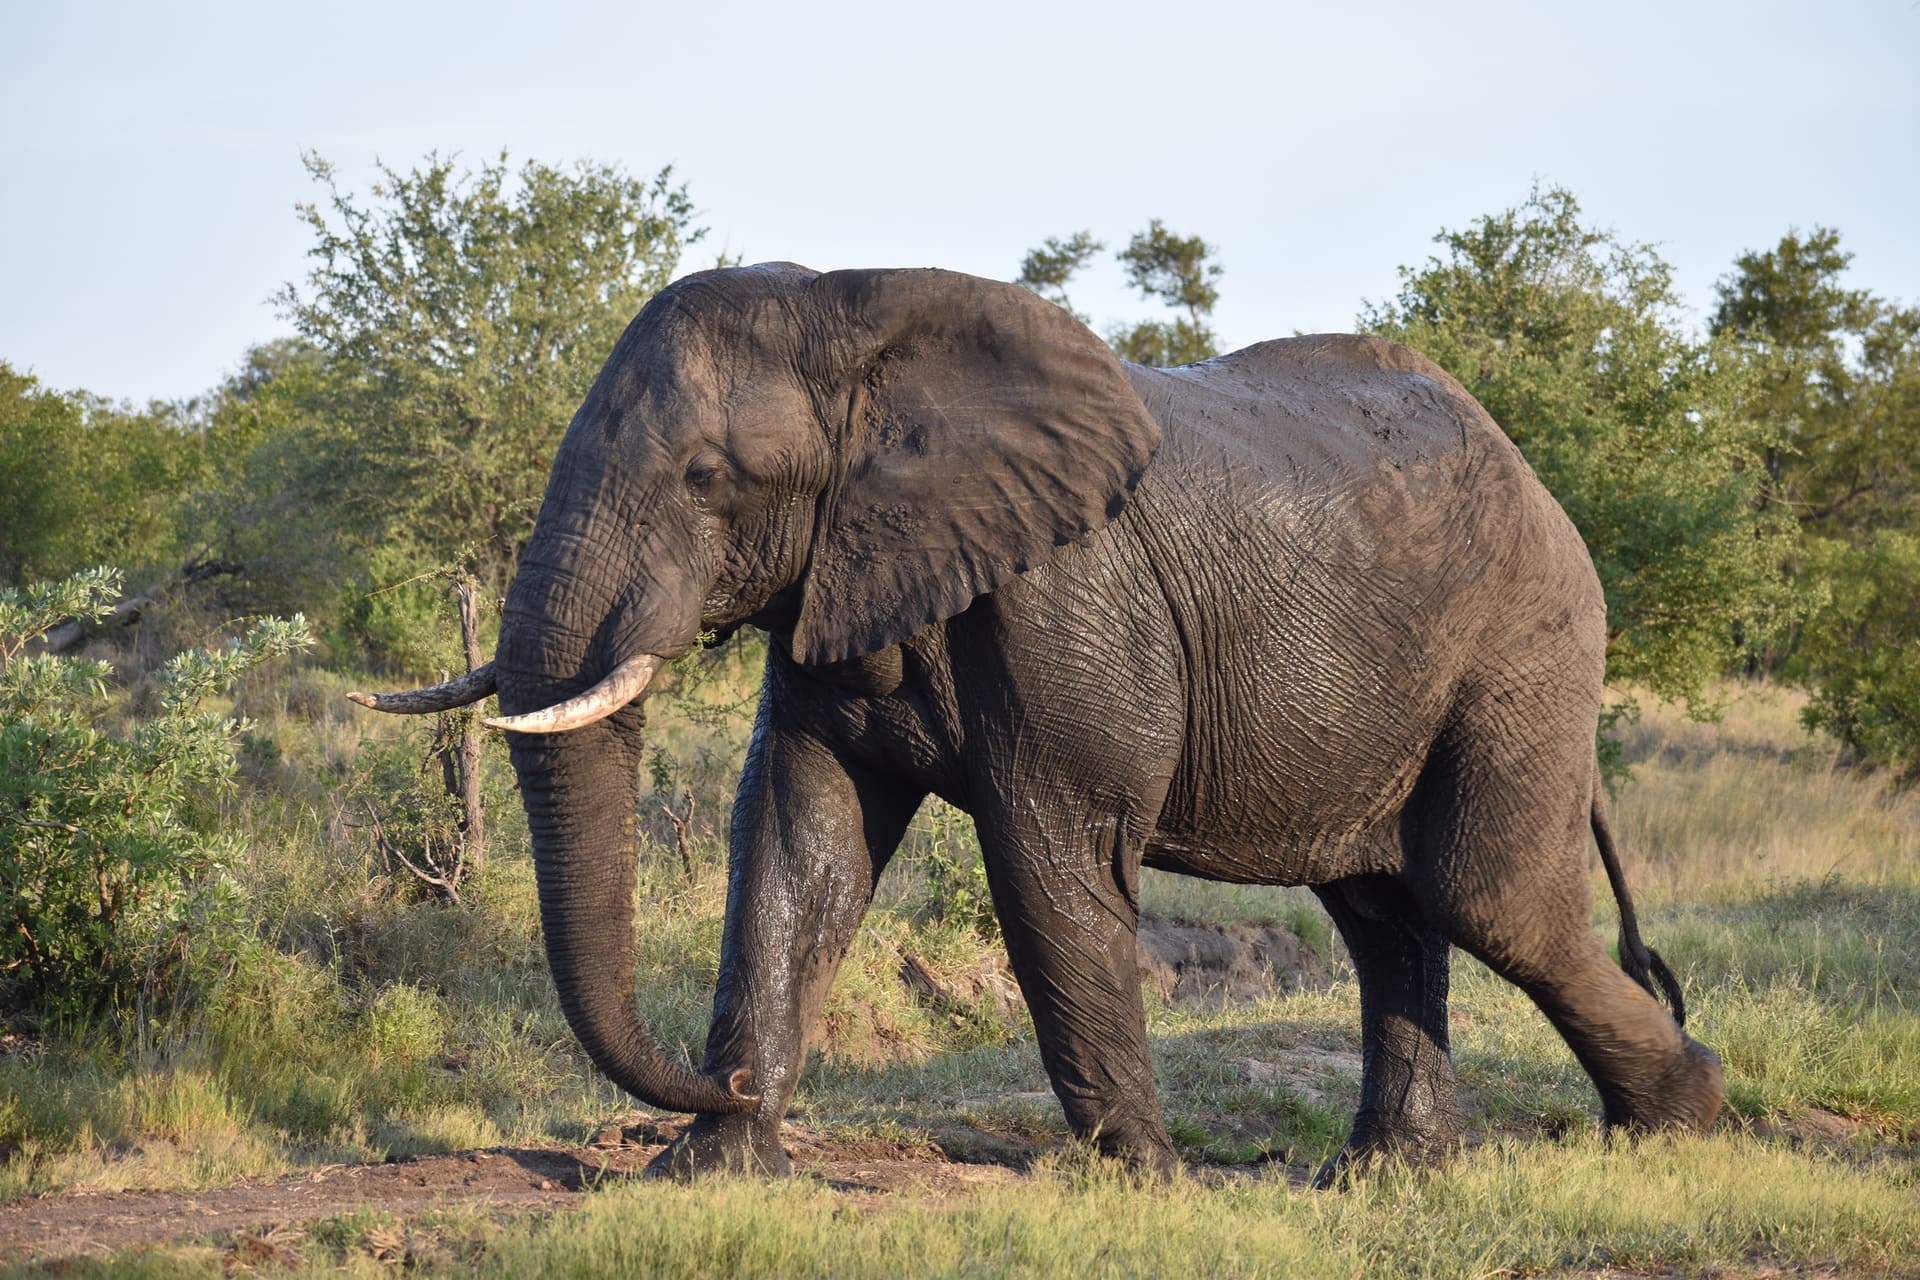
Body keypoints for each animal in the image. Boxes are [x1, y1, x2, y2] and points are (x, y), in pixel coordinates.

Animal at [351, 262, 1724, 1180]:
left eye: (707, 479)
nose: (720, 1072)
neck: (857, 316)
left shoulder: (1064, 597)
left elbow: (1049, 856)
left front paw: (1145, 1185)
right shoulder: (841, 580)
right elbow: (801, 838)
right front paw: (712, 1168)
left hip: (1527, 643)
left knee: (1487, 896)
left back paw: (1688, 1118)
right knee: (1387, 907)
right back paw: (1386, 1176)